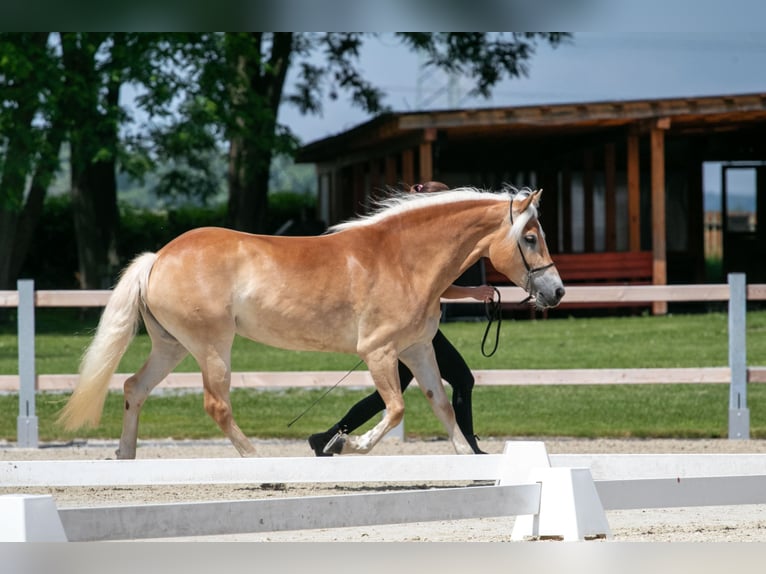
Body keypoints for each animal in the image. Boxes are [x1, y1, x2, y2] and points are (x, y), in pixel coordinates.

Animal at [58, 188, 564, 460]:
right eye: (530, 237)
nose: (556, 292)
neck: (403, 260)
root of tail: (159, 257)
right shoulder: (379, 352)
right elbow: (396, 408)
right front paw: (346, 445)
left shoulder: (416, 349)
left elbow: (439, 403)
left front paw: (467, 457)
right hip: (212, 347)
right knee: (216, 405)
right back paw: (256, 461)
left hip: (172, 346)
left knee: (133, 388)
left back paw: (125, 457)